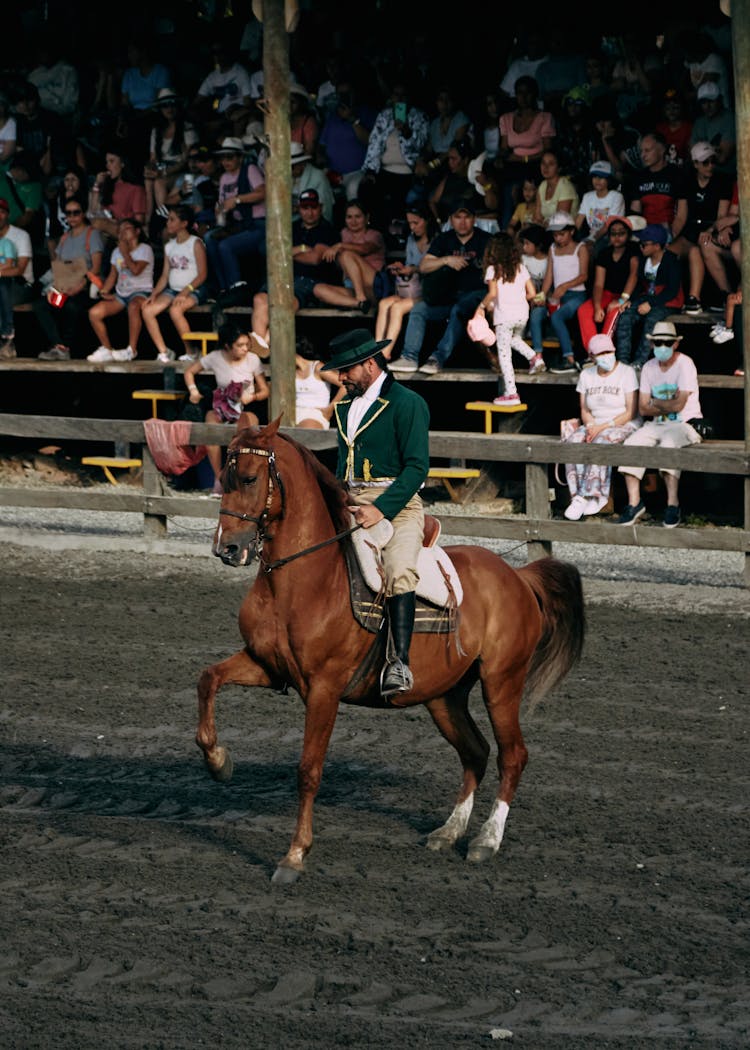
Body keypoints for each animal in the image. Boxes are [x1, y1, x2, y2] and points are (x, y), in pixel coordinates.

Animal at [195, 413, 579, 881]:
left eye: (250, 478)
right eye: (224, 479)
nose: (227, 548)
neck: (304, 578)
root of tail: (518, 577)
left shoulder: (323, 689)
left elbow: (309, 770)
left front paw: (294, 855)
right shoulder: (266, 667)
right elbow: (208, 680)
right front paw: (218, 762)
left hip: (501, 683)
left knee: (512, 755)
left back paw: (486, 840)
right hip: (444, 696)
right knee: (476, 753)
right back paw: (448, 832)